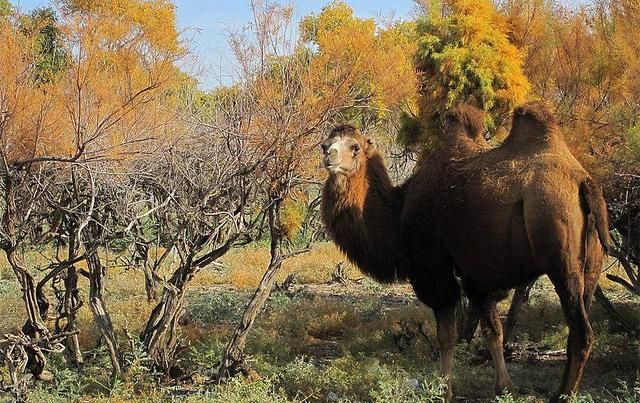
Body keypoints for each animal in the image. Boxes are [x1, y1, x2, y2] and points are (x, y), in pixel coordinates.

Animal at [320, 102, 608, 402]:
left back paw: (564, 395)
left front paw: (444, 389)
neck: (398, 214)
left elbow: (447, 335)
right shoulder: (476, 275)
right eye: (325, 144)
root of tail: (584, 183)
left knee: (582, 331)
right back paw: (562, 389)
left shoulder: (436, 271)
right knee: (578, 323)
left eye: (355, 147)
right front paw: (503, 386)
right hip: (591, 265)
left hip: (560, 255)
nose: (329, 156)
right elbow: (493, 330)